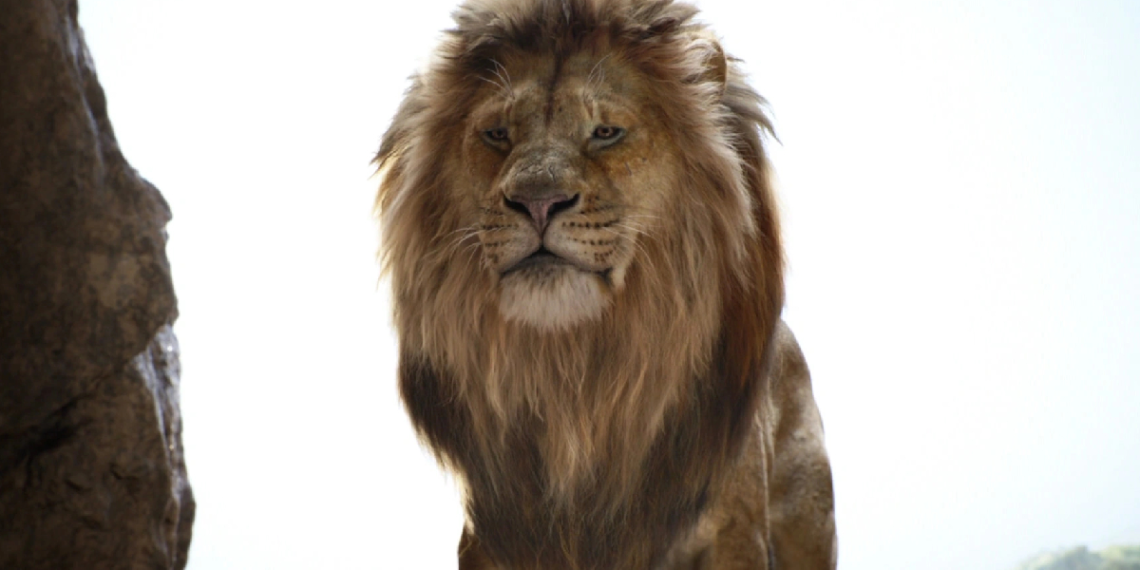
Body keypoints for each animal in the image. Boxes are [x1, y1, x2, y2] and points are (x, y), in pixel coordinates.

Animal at [374, 0, 837, 568]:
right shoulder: (493, 534)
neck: (579, 375)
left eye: (606, 132)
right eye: (498, 134)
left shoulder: (733, 534)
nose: (537, 202)